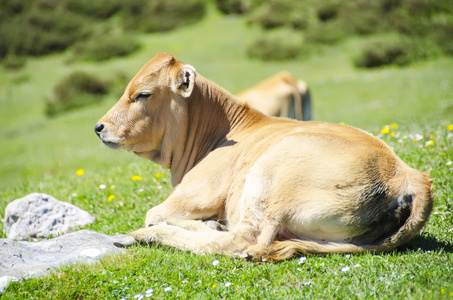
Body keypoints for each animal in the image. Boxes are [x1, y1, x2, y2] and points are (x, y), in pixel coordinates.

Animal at [94, 54, 430, 262]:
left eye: (142, 94)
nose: (99, 127)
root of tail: (408, 174)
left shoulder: (194, 194)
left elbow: (153, 213)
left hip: (268, 178)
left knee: (239, 239)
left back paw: (146, 236)